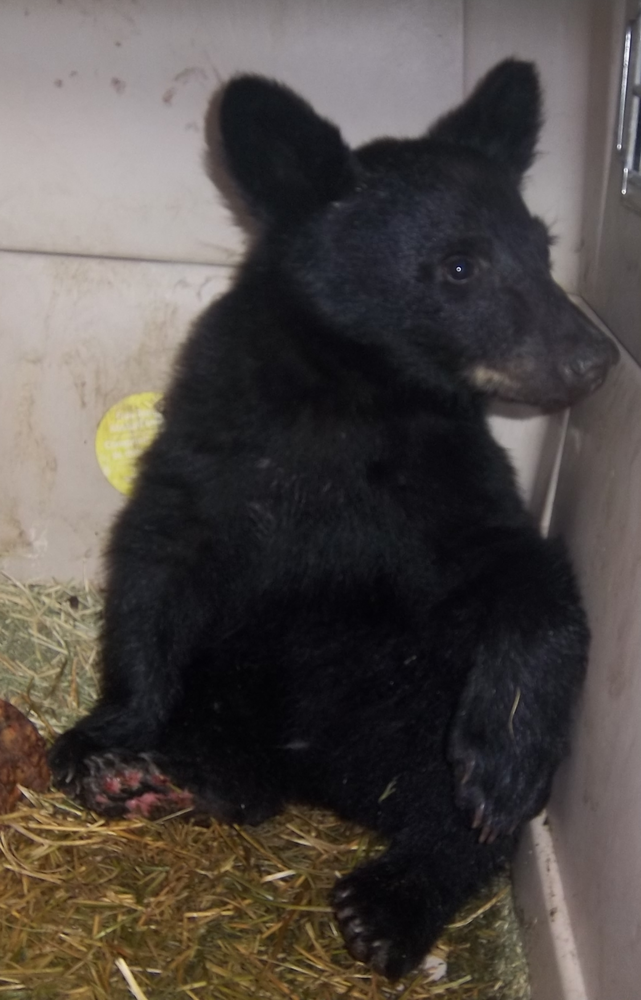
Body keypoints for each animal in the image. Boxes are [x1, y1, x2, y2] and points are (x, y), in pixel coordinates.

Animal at [49, 59, 618, 980]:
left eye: (542, 247)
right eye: (459, 265)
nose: (592, 359)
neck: (351, 399)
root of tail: (323, 779)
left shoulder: (443, 486)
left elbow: (521, 573)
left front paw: (500, 764)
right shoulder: (215, 448)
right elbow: (155, 562)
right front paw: (106, 736)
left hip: (413, 703)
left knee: (437, 809)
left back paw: (391, 901)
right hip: (238, 668)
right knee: (241, 762)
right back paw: (161, 778)